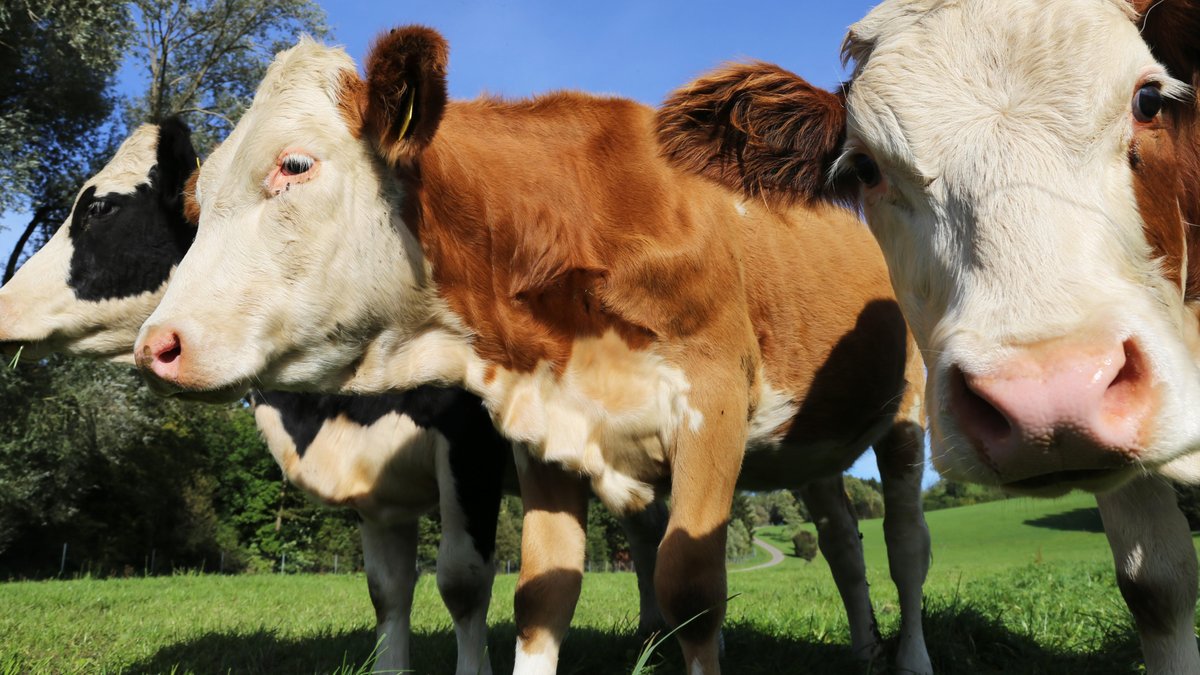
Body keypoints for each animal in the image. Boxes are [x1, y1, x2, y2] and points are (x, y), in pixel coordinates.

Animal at [131, 28, 936, 667]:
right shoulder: (546, 428)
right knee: (843, 541)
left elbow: (691, 587)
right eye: (197, 201)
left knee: (904, 545)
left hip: (908, 414)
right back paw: (864, 647)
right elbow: (541, 596)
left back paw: (908, 657)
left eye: (294, 165)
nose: (156, 346)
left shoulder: (710, 409)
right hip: (811, 443)